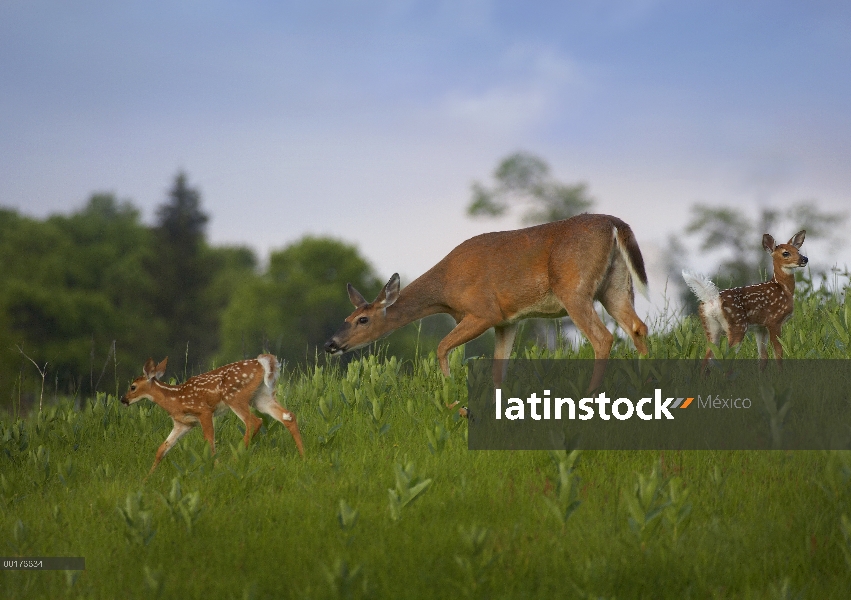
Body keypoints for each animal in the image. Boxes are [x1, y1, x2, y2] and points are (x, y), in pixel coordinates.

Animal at [121, 354, 304, 476]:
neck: (175, 398)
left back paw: (234, 460)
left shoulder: (204, 411)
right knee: (288, 416)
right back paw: (303, 455)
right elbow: (162, 449)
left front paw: (216, 467)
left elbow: (209, 442)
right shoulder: (183, 423)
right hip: (261, 396)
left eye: (132, 387)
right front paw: (147, 478)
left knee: (254, 422)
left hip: (234, 396)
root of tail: (263, 362)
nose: (123, 399)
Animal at [322, 213, 648, 392]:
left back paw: (591, 395)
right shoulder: (508, 320)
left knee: (603, 337)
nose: (331, 344)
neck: (446, 289)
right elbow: (497, 368)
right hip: (615, 286)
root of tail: (614, 224)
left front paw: (452, 394)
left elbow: (441, 347)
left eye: (362, 319)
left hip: (574, 289)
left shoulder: (484, 313)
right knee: (637, 327)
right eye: (346, 318)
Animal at [684, 231, 808, 368]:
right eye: (786, 253)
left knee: (706, 360)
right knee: (727, 357)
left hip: (711, 327)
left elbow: (763, 356)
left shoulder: (760, 328)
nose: (804, 259)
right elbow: (778, 352)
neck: (783, 288)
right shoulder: (774, 321)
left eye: (798, 250)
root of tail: (713, 299)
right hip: (737, 324)